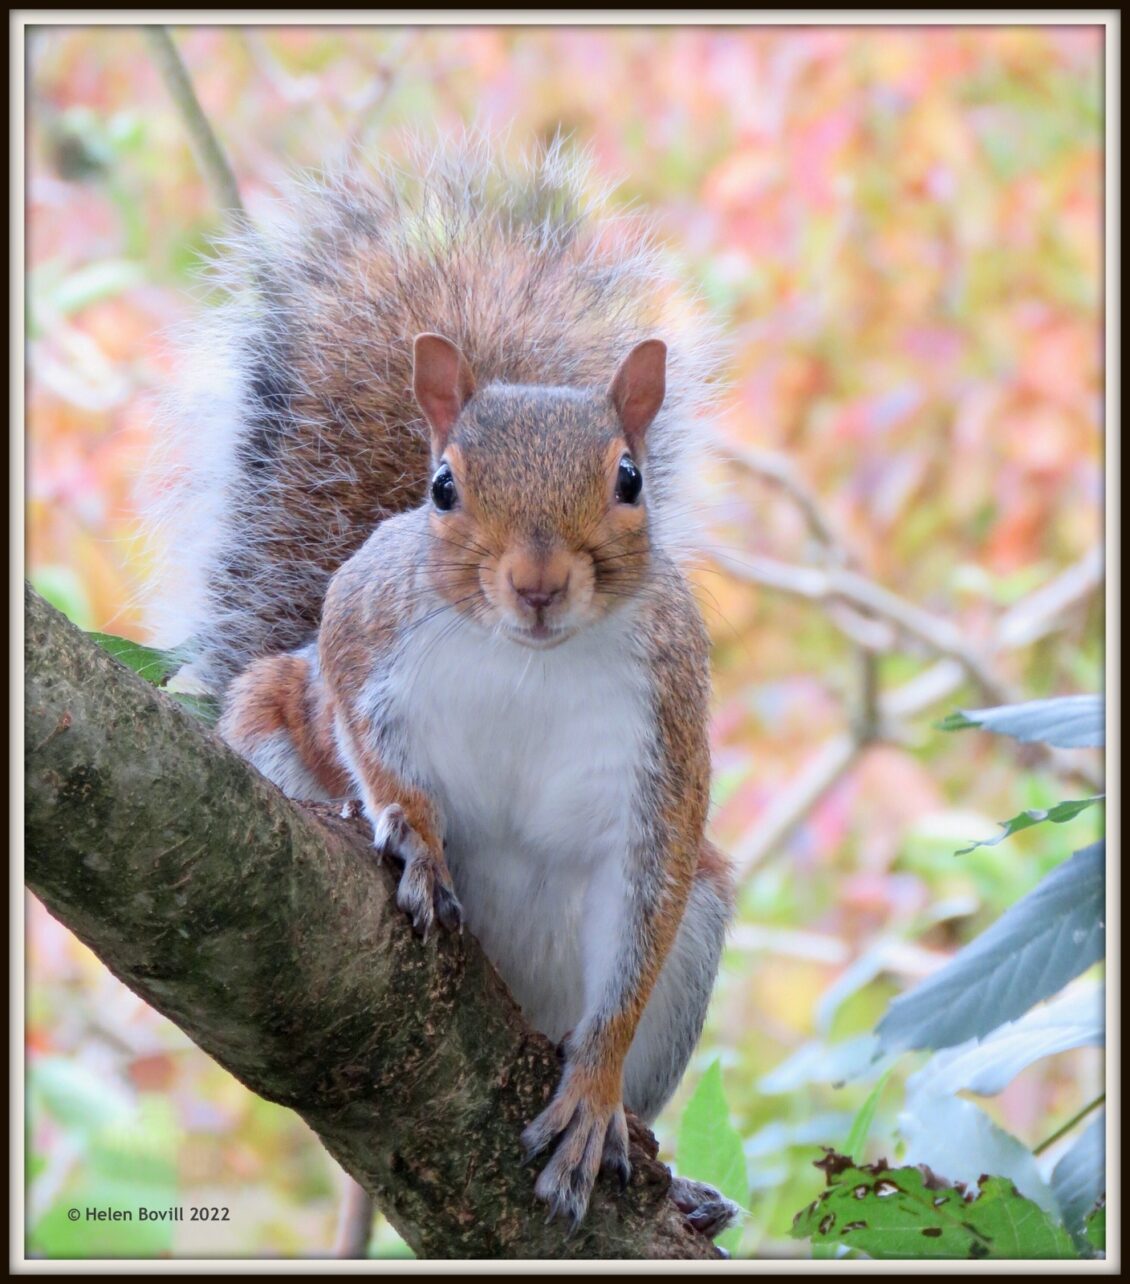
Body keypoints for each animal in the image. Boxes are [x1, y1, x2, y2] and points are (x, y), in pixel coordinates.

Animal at [147, 138, 739, 1232]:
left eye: (629, 479)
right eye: (443, 487)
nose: (537, 583)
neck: (528, 658)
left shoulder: (667, 735)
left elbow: (644, 905)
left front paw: (593, 1095)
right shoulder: (363, 629)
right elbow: (364, 728)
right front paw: (410, 831)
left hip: (694, 945)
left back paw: (673, 1178)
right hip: (267, 727)